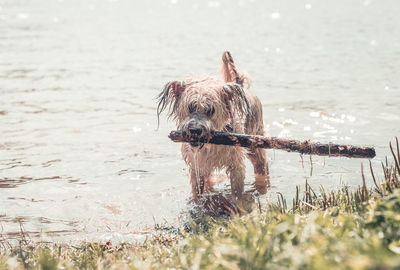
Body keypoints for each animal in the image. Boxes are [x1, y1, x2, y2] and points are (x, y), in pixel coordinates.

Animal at [156, 51, 268, 201]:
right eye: (190, 107)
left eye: (210, 110)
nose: (195, 130)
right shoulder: (197, 166)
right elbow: (197, 190)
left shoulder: (236, 164)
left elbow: (237, 191)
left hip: (256, 142)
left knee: (262, 165)